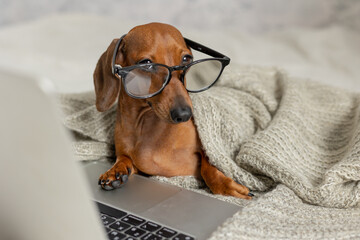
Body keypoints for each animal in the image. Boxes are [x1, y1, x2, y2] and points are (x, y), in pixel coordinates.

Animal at [93, 22, 253, 200]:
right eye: (146, 63)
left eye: (187, 59)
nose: (184, 114)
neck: (145, 125)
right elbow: (124, 158)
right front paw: (115, 171)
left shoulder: (207, 149)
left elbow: (209, 164)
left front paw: (226, 186)